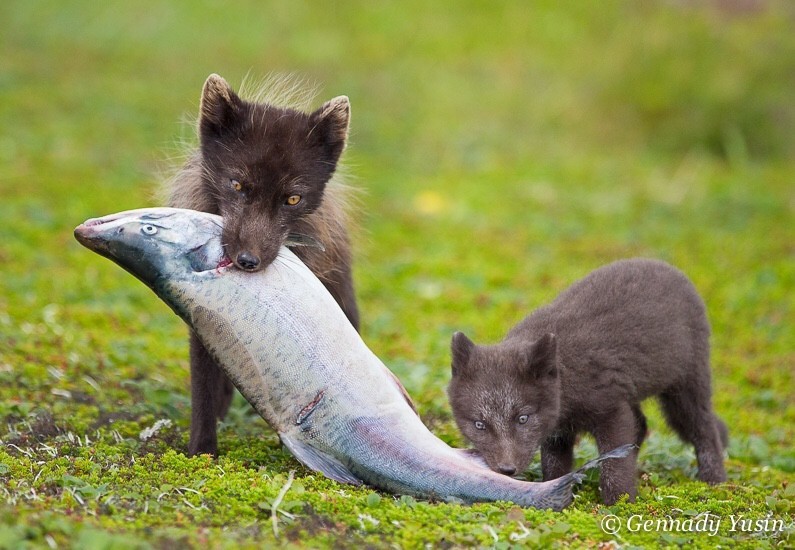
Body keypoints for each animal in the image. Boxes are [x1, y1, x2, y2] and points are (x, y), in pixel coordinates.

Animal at [173, 75, 362, 460]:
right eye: (236, 185)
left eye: (293, 199)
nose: (247, 261)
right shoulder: (201, 319)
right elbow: (203, 391)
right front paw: (201, 453)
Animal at [448, 260, 728, 506]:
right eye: (479, 424)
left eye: (523, 418)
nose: (506, 470)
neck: (567, 377)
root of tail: (670, 269)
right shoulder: (558, 430)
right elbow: (555, 465)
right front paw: (557, 492)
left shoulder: (611, 410)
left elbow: (615, 465)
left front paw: (619, 505)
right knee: (641, 424)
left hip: (686, 385)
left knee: (703, 429)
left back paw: (715, 482)